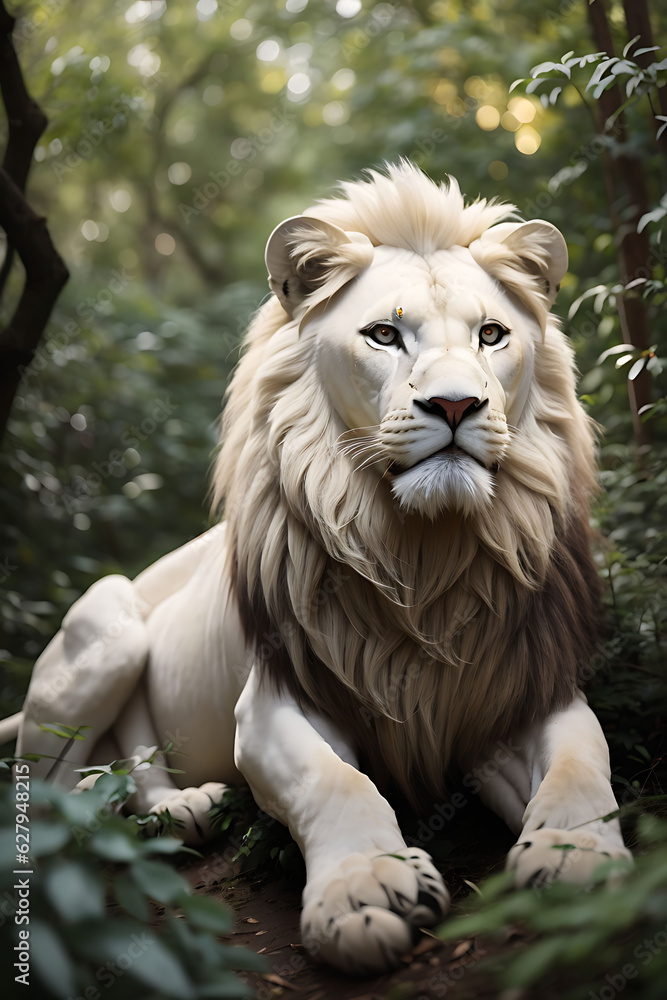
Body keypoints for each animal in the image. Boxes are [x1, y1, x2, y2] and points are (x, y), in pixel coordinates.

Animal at [1, 162, 631, 974]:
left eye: (491, 334)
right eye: (384, 334)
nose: (456, 404)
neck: (428, 563)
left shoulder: (522, 686)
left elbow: (584, 759)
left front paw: (577, 854)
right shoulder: (279, 697)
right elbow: (335, 782)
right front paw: (365, 889)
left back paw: (183, 808)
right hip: (105, 623)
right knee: (50, 796)